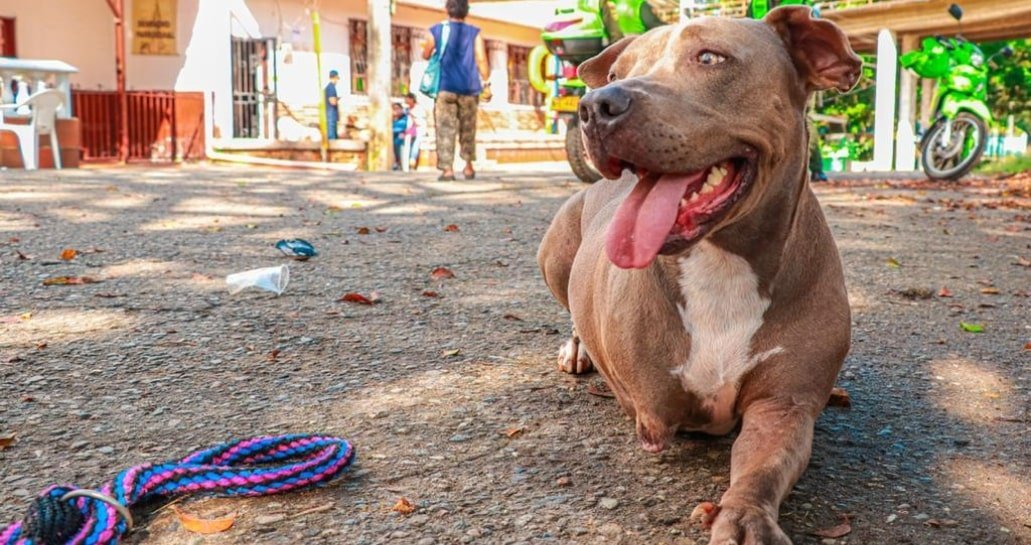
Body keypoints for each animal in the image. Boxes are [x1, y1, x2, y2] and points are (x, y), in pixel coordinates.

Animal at [536, 5, 857, 543]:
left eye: (710, 58)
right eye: (617, 73)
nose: (595, 105)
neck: (722, 262)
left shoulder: (784, 407)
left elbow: (760, 468)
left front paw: (744, 516)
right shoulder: (654, 412)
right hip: (556, 249)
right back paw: (577, 347)